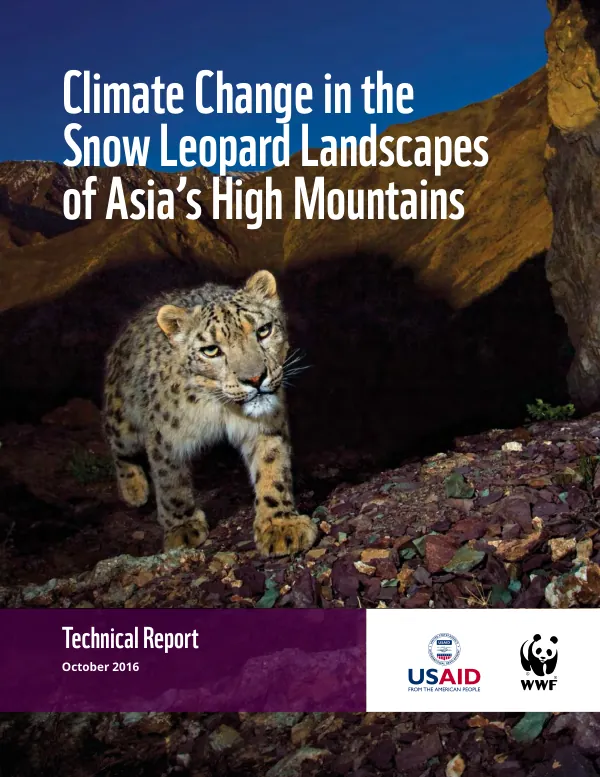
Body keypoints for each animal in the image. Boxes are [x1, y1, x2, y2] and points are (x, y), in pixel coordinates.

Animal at [102, 270, 318, 557]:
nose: (255, 378)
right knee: (118, 446)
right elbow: (170, 482)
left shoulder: (264, 426)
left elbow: (273, 469)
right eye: (211, 350)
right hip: (123, 423)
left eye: (263, 331)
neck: (222, 411)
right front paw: (182, 528)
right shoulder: (166, 438)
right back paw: (134, 490)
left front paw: (280, 525)